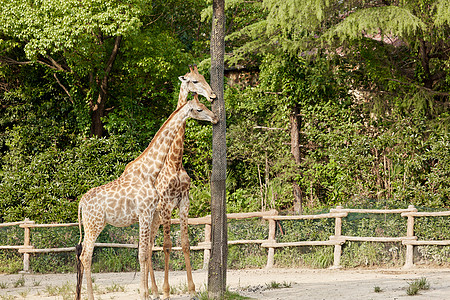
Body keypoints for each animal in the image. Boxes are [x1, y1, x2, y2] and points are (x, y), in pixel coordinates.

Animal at [74, 96, 219, 300]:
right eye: (199, 109)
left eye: (205, 105)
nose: (215, 118)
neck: (150, 173)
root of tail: (81, 203)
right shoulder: (144, 213)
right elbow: (143, 254)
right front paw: (145, 293)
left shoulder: (150, 214)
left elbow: (145, 251)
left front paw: (148, 293)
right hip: (94, 225)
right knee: (86, 256)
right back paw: (91, 297)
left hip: (91, 225)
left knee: (83, 256)